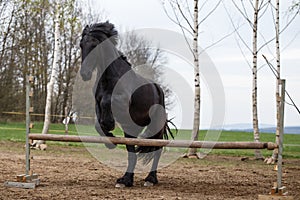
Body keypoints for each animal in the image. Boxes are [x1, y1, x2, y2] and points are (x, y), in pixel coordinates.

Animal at [78, 21, 175, 188]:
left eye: (95, 44)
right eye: (81, 45)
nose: (85, 74)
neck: (109, 77)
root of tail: (158, 89)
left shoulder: (122, 101)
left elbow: (107, 101)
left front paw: (109, 124)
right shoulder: (97, 102)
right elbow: (98, 123)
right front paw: (109, 139)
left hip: (155, 126)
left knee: (157, 149)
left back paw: (150, 179)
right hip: (131, 129)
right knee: (133, 154)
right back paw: (125, 180)